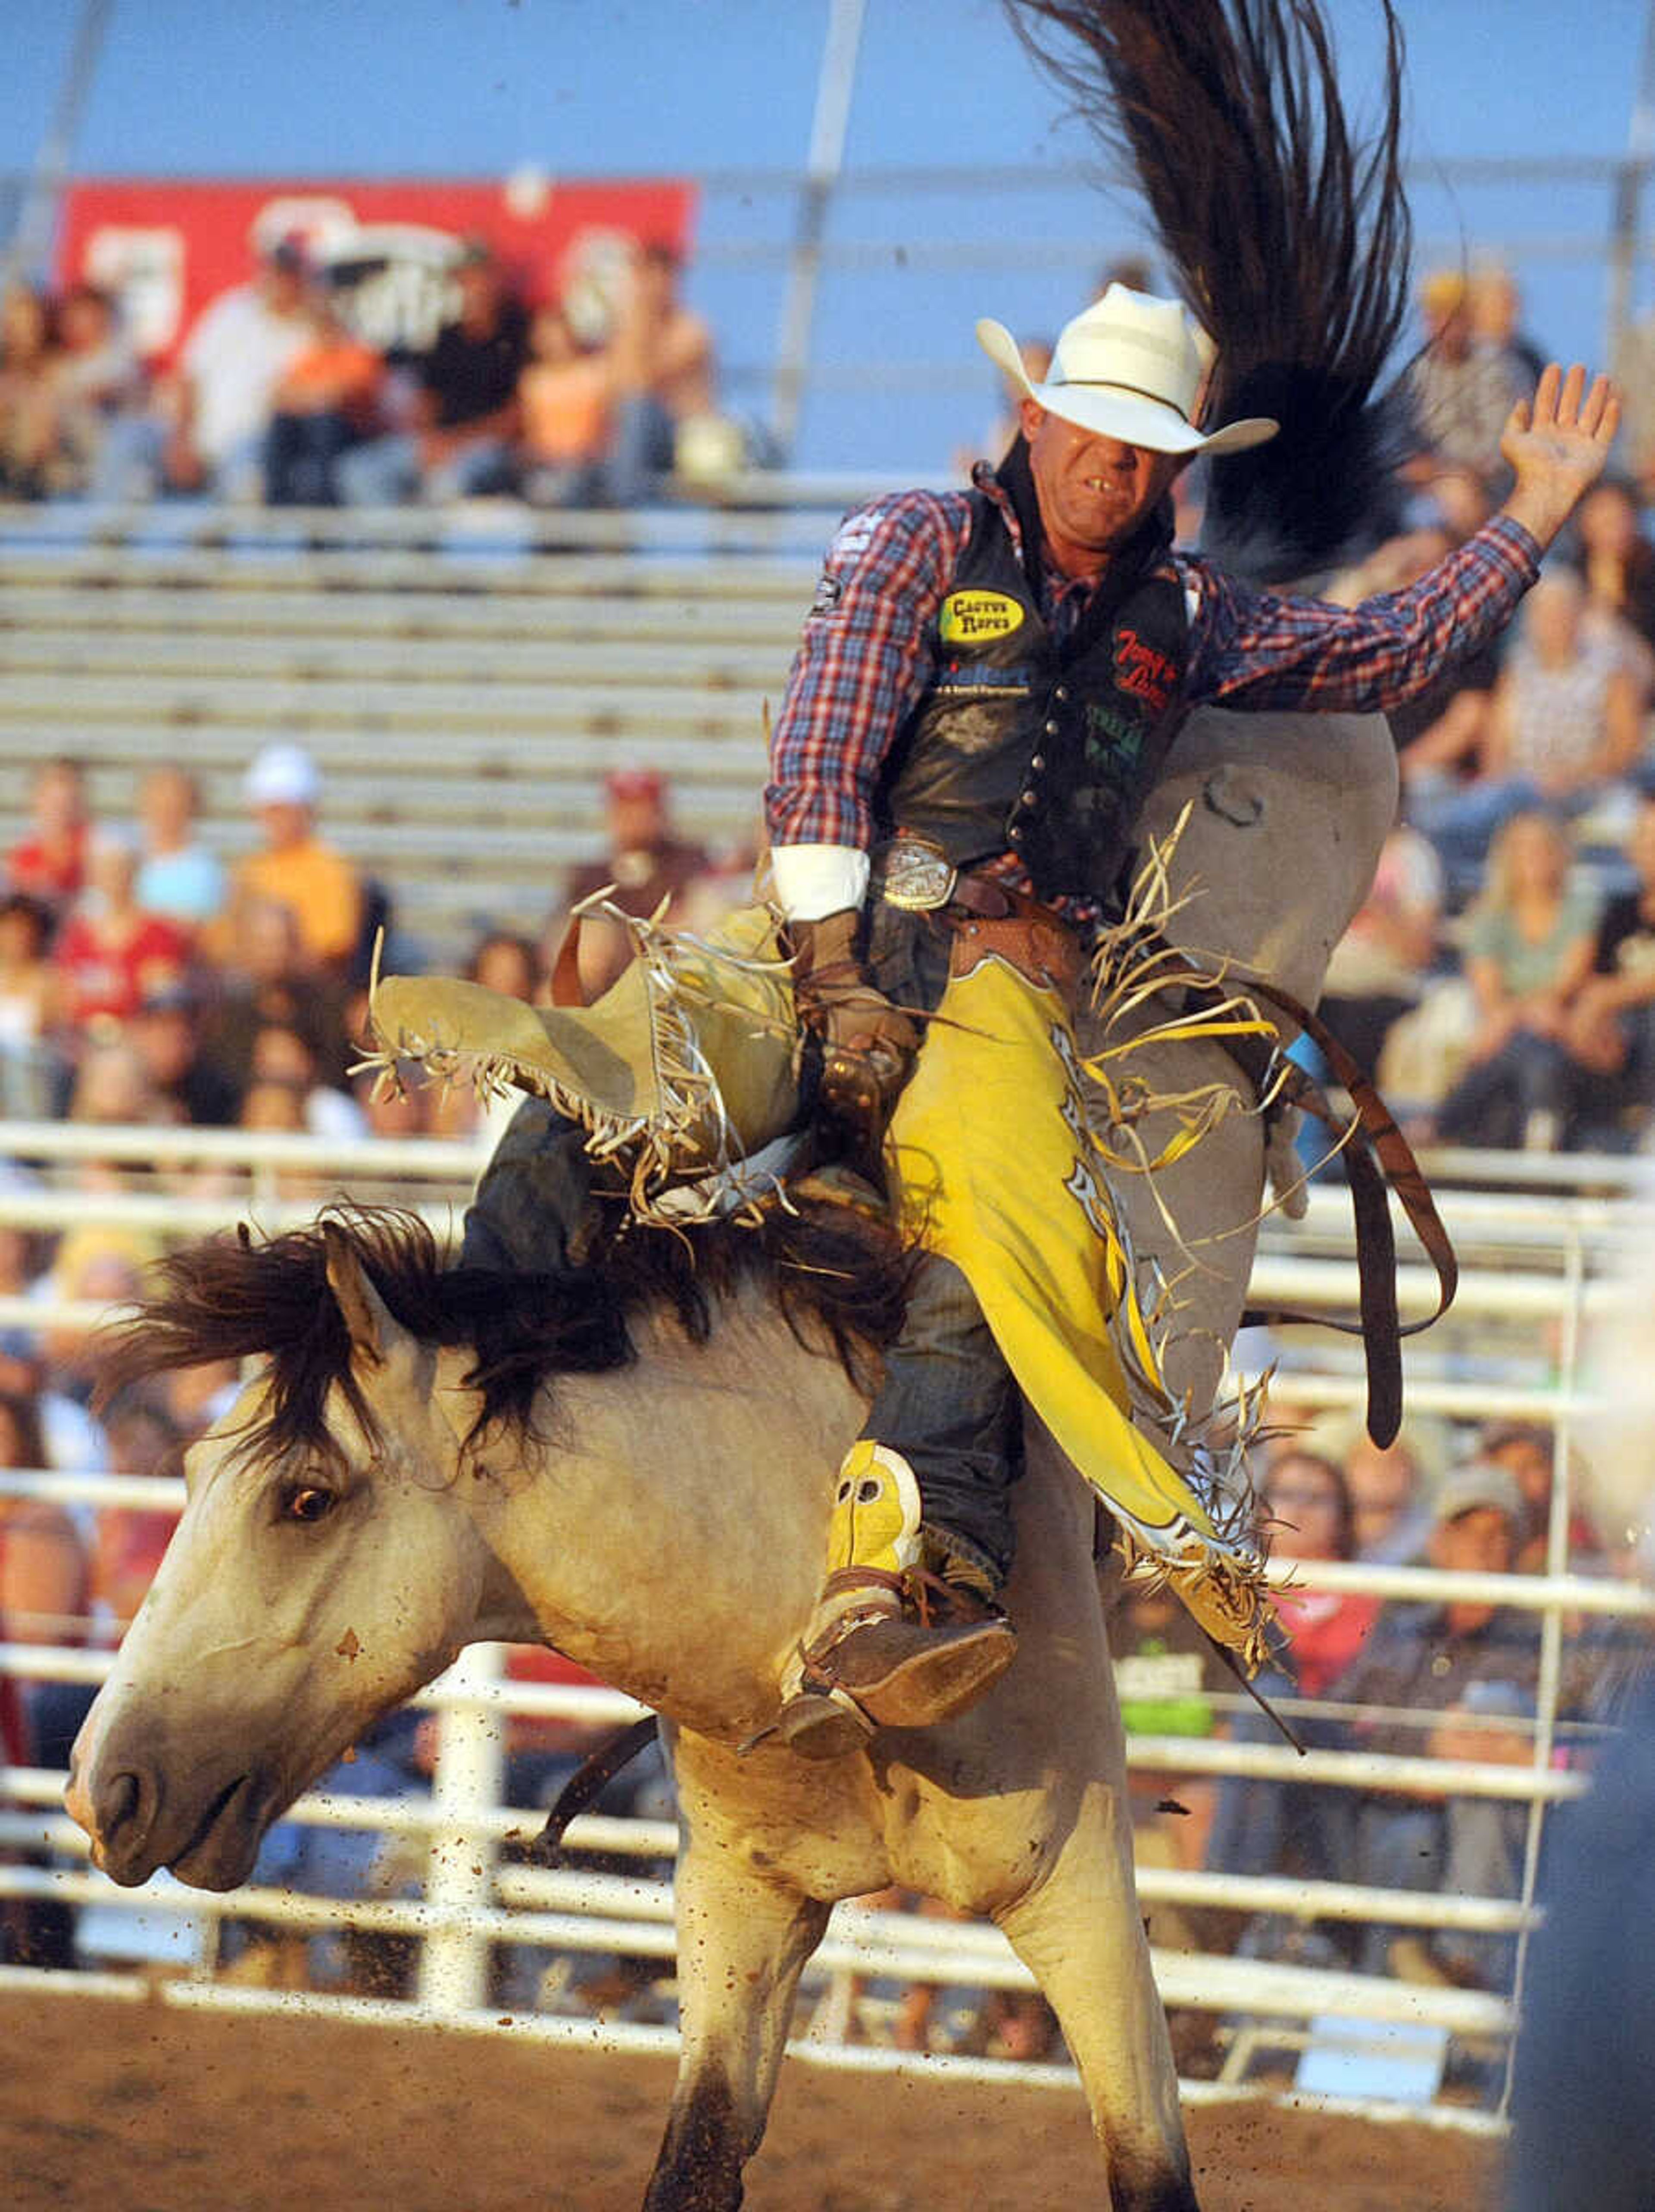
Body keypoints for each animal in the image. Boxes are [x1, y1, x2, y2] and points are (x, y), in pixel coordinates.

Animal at [65, 4, 1425, 2212]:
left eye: (302, 1496)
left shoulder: (1092, 1908)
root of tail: (1234, 574)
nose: (101, 1781)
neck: (766, 1569)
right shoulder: (736, 1912)